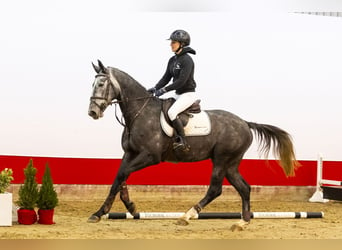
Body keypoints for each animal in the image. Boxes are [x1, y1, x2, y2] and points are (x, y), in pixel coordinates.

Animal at [88, 60, 300, 230]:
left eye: (101, 83)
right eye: (92, 84)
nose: (92, 112)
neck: (140, 112)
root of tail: (245, 123)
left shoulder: (150, 156)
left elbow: (123, 174)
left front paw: (118, 209)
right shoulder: (129, 153)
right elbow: (119, 178)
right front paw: (107, 211)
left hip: (222, 160)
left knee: (215, 189)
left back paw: (187, 216)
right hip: (231, 164)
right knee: (244, 188)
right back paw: (242, 222)